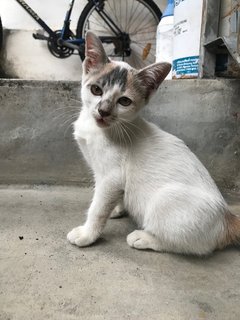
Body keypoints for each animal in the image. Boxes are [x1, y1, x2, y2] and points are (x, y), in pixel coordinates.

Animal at [66, 31, 239, 255]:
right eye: (96, 90)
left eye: (124, 101)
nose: (103, 111)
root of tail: (227, 218)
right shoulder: (103, 173)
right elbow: (112, 197)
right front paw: (117, 208)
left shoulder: (111, 176)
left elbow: (98, 208)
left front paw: (87, 234)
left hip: (163, 199)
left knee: (189, 246)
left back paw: (144, 238)